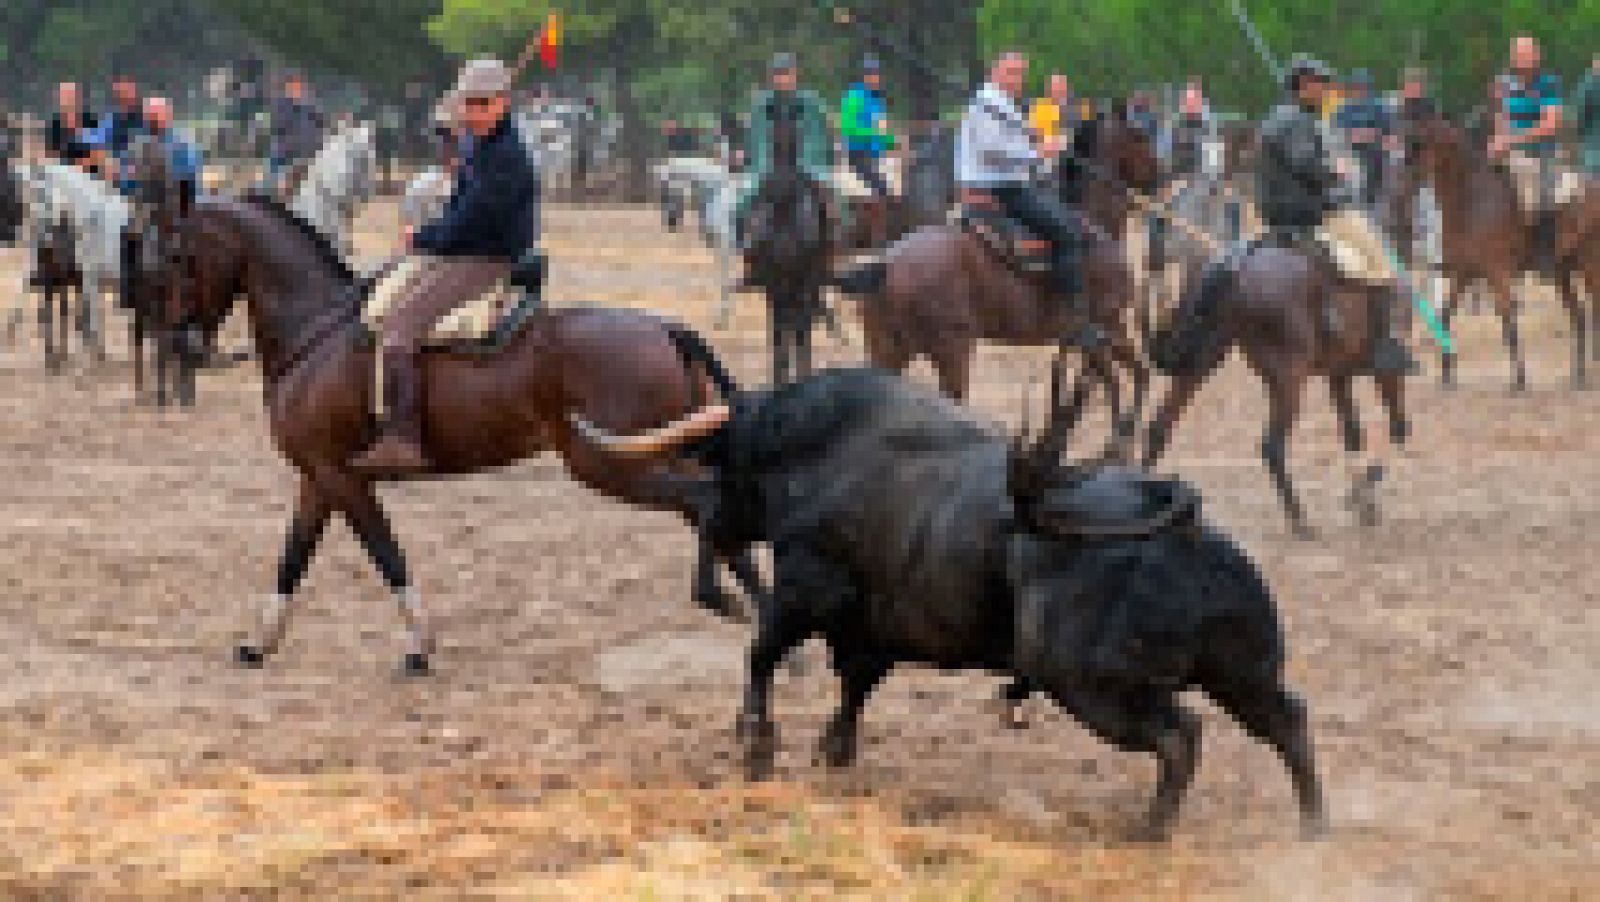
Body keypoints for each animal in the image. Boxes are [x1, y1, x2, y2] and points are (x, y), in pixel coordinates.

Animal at [152, 197, 752, 678]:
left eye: (178, 256)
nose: (181, 342)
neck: (317, 330)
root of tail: (666, 329)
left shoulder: (340, 476)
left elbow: (387, 555)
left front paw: (420, 648)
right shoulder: (317, 479)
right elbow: (293, 558)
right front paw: (258, 644)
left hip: (612, 466)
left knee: (703, 504)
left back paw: (720, 599)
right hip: (659, 454)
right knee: (718, 507)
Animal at [576, 364, 1324, 838]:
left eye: (722, 464)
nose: (710, 521)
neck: (811, 451)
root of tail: (1180, 524)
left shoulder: (804, 591)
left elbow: (762, 655)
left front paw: (758, 745)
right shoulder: (870, 629)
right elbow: (854, 685)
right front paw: (832, 751)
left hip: (1090, 685)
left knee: (1180, 737)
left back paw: (1150, 831)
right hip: (1243, 671)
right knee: (1286, 720)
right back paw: (1313, 826)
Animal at [1408, 111, 1593, 387]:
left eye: (1419, 145)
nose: (1401, 183)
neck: (1471, 203)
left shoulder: (1498, 273)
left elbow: (1509, 322)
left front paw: (1519, 379)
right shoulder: (1462, 273)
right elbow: (1446, 315)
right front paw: (1447, 375)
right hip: (1563, 273)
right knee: (1579, 316)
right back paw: (1579, 375)